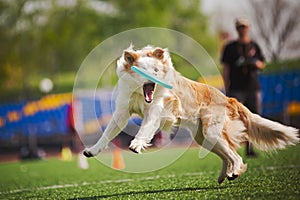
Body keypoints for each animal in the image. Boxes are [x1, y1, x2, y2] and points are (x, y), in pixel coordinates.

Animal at [83, 44, 298, 184]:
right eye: (142, 71)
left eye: (156, 70)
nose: (155, 80)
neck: (139, 93)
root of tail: (228, 98)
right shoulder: (122, 113)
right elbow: (106, 135)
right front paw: (92, 151)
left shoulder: (155, 111)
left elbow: (144, 129)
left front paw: (136, 144)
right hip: (203, 137)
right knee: (228, 155)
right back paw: (224, 176)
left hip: (211, 133)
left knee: (235, 156)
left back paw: (234, 172)